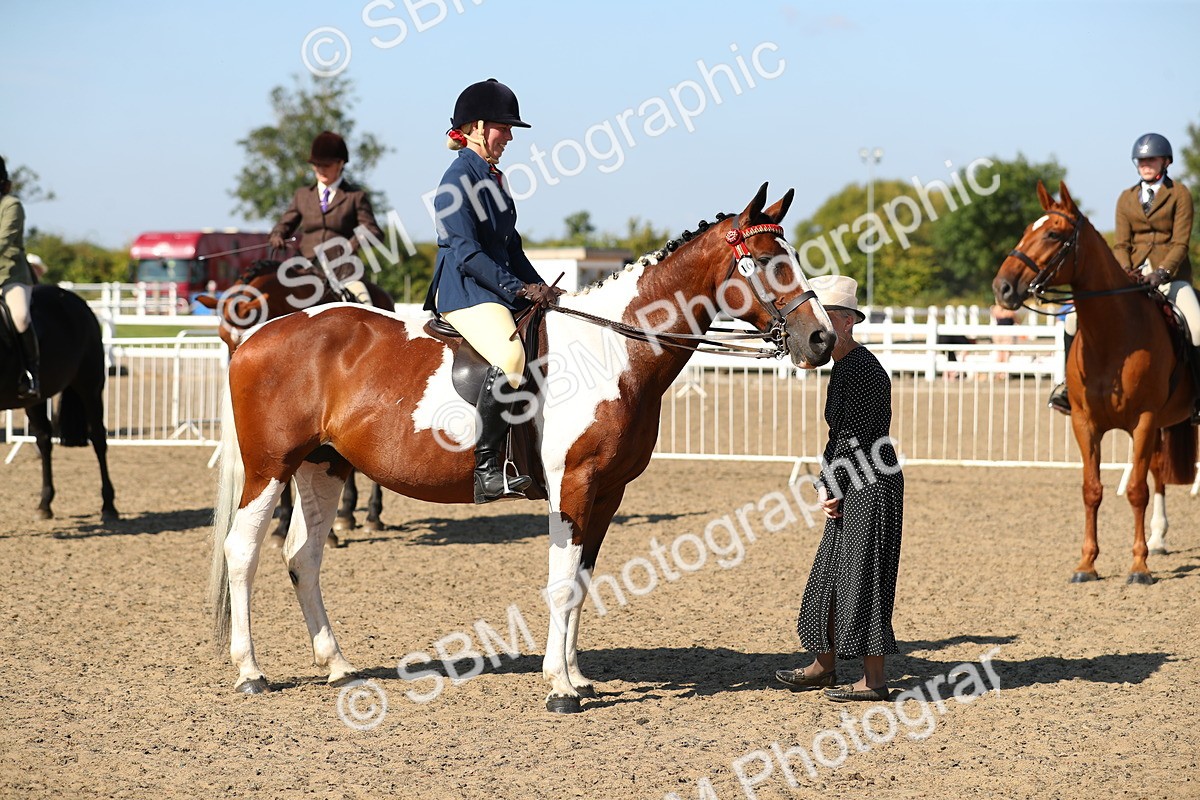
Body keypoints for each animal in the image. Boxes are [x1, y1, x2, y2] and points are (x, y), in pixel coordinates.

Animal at [1, 284, 117, 522]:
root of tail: (71, 297)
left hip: (90, 387)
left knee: (98, 439)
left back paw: (109, 506)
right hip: (35, 399)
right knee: (44, 439)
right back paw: (44, 504)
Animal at [195, 260, 395, 546]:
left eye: (246, 333)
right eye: (222, 337)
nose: (239, 369)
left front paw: (327, 534)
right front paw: (282, 526)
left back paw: (372, 515)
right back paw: (347, 512)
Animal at [992, 181, 1196, 584]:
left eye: (1053, 234)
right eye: (1025, 230)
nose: (1002, 288)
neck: (1112, 335)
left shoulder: (1143, 421)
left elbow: (1135, 491)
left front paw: (1139, 567)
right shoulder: (1085, 423)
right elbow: (1092, 490)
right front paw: (1086, 564)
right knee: (1159, 472)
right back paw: (1158, 538)